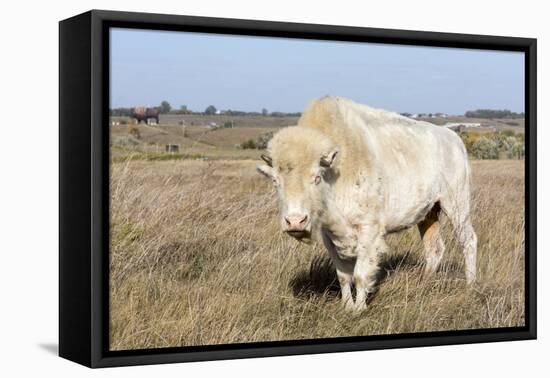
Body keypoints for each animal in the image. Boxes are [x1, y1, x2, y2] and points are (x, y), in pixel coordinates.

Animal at [258, 96, 478, 312]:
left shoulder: (368, 230)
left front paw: (359, 309)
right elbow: (343, 275)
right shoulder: (330, 235)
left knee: (468, 240)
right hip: (429, 213)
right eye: (275, 181)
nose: (295, 221)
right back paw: (423, 283)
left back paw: (470, 286)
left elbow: (361, 273)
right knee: (434, 248)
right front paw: (347, 306)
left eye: (316, 177)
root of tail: (454, 139)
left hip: (456, 204)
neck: (336, 171)